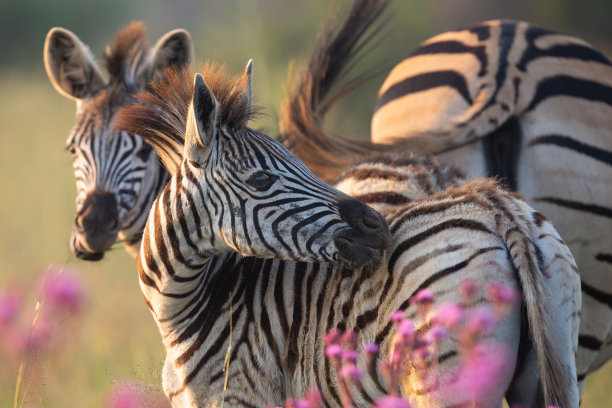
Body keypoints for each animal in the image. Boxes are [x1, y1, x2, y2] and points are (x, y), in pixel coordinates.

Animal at [115, 49, 580, 406]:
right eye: (261, 180)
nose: (377, 227)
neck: (189, 307)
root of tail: (494, 205)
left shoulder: (242, 393)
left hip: (444, 378)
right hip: (555, 358)